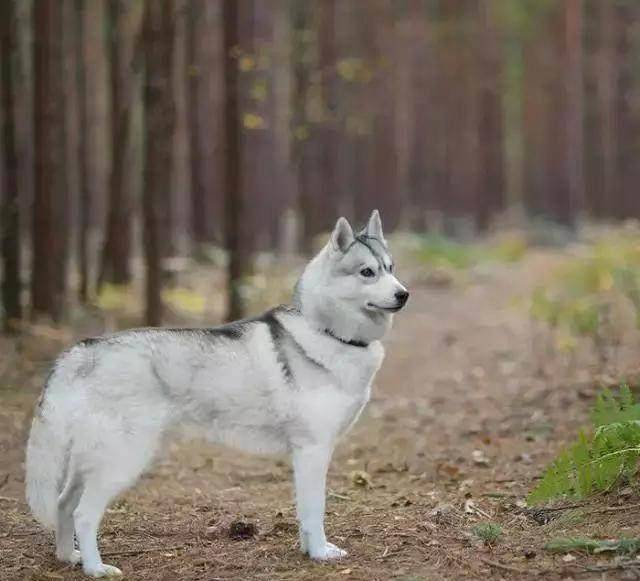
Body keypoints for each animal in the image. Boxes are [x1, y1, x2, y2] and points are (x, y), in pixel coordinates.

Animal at [26, 208, 410, 576]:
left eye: (390, 269)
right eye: (367, 272)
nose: (404, 294)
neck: (328, 332)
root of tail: (84, 348)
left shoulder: (305, 455)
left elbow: (304, 511)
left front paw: (307, 549)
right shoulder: (313, 449)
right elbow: (315, 510)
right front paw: (318, 553)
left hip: (89, 460)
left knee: (63, 504)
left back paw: (67, 557)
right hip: (121, 459)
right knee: (83, 513)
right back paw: (96, 568)